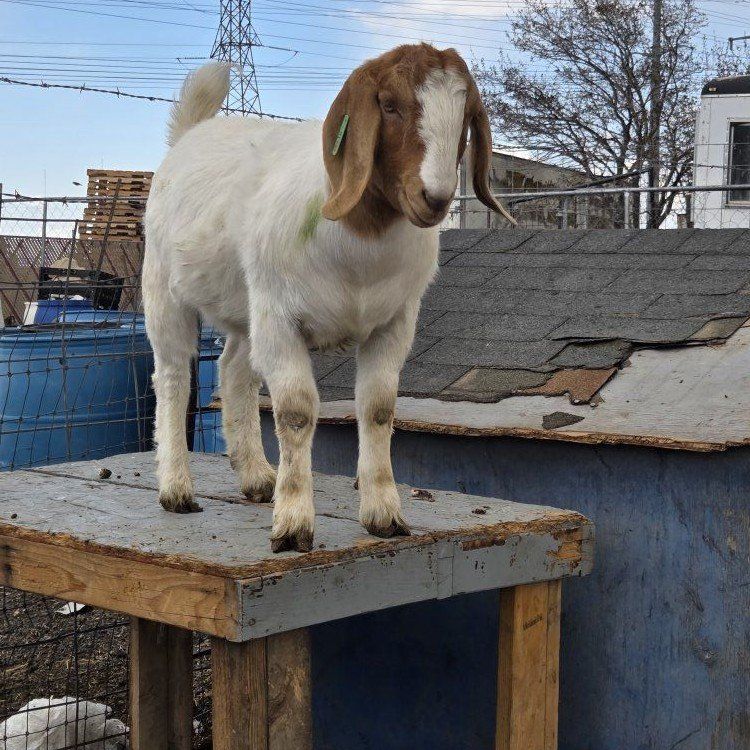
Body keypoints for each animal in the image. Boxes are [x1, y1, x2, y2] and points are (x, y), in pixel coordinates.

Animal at [143, 43, 513, 552]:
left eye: (467, 112)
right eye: (390, 105)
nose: (435, 198)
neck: (359, 244)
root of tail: (190, 135)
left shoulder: (393, 324)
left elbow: (377, 408)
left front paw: (384, 514)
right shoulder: (281, 320)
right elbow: (296, 412)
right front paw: (294, 525)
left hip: (247, 307)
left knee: (234, 369)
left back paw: (257, 477)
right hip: (166, 289)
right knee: (174, 377)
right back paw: (177, 489)